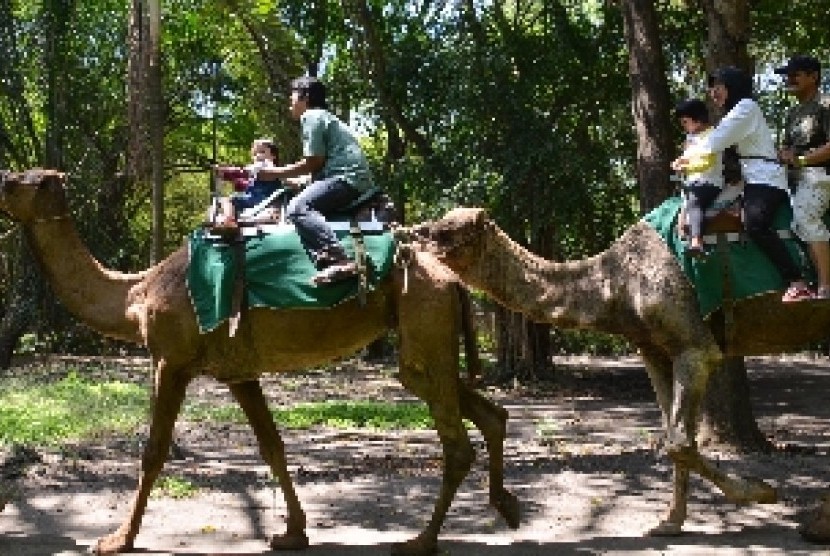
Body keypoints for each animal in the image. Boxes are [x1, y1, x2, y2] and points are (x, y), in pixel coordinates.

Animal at [0, 170, 520, 556]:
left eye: (14, 183)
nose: (1, 179)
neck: (136, 294)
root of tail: (452, 279)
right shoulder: (239, 372)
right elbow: (272, 445)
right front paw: (292, 532)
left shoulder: (171, 360)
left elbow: (153, 451)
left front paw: (116, 540)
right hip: (429, 333)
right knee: (487, 412)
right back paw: (506, 506)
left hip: (423, 314)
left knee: (454, 439)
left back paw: (420, 541)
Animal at [420, 205, 830, 544]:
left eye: (446, 231)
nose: (415, 236)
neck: (617, 283)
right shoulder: (654, 349)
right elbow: (675, 436)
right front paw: (669, 523)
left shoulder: (695, 346)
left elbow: (679, 442)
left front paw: (762, 491)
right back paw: (816, 524)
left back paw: (815, 524)